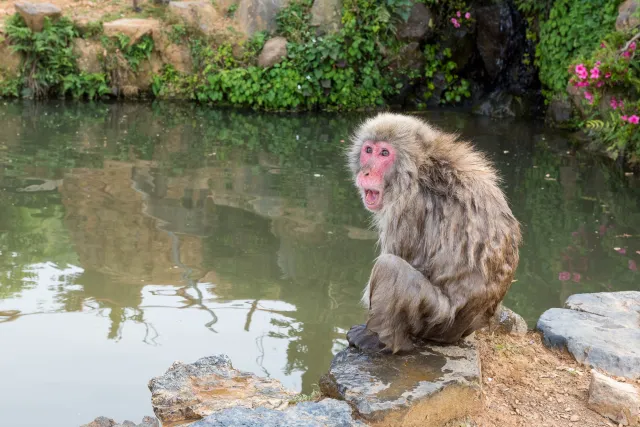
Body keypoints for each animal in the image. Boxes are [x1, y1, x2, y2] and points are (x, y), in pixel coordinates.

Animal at [344, 113, 520, 354]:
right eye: (368, 150)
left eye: (384, 153)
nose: (366, 171)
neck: (420, 166)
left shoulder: (408, 206)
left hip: (437, 322)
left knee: (390, 266)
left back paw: (380, 340)